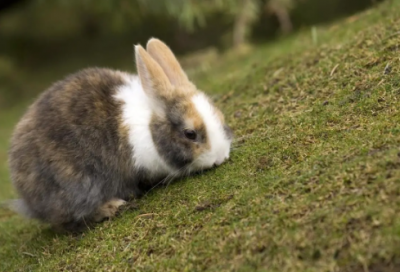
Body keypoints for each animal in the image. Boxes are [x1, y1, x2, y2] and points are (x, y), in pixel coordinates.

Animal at [7, 37, 233, 231]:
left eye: (220, 116)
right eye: (190, 134)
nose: (220, 157)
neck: (150, 127)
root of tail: (28, 200)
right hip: (77, 186)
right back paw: (112, 206)